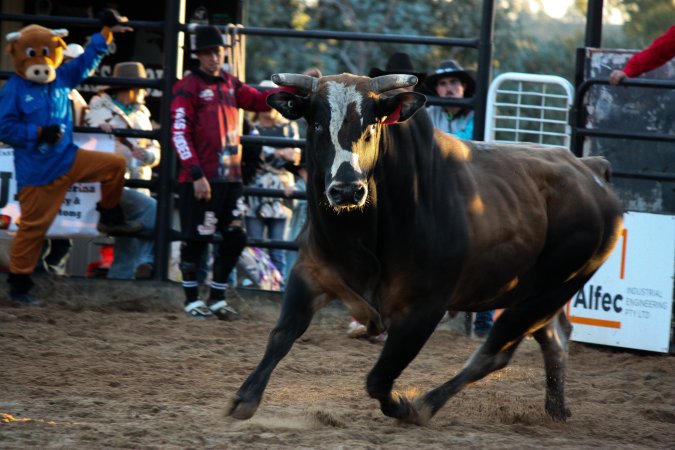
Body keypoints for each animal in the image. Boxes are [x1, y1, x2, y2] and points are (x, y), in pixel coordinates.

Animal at [227, 73, 624, 425]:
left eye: (372, 125)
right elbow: (282, 334)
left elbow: (379, 378)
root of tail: (590, 169)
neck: (363, 233)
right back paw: (556, 409)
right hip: (535, 295)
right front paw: (245, 397)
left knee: (493, 354)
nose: (347, 189)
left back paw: (426, 405)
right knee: (555, 339)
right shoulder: (310, 275)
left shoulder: (423, 309)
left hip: (552, 289)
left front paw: (403, 406)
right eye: (316, 124)